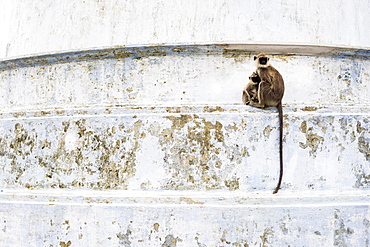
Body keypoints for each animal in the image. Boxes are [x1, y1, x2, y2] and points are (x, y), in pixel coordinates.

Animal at [249, 52, 286, 195]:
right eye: (262, 59)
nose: (264, 62)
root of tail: (279, 99)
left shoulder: (262, 71)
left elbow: (263, 81)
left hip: (271, 96)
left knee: (263, 84)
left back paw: (259, 104)